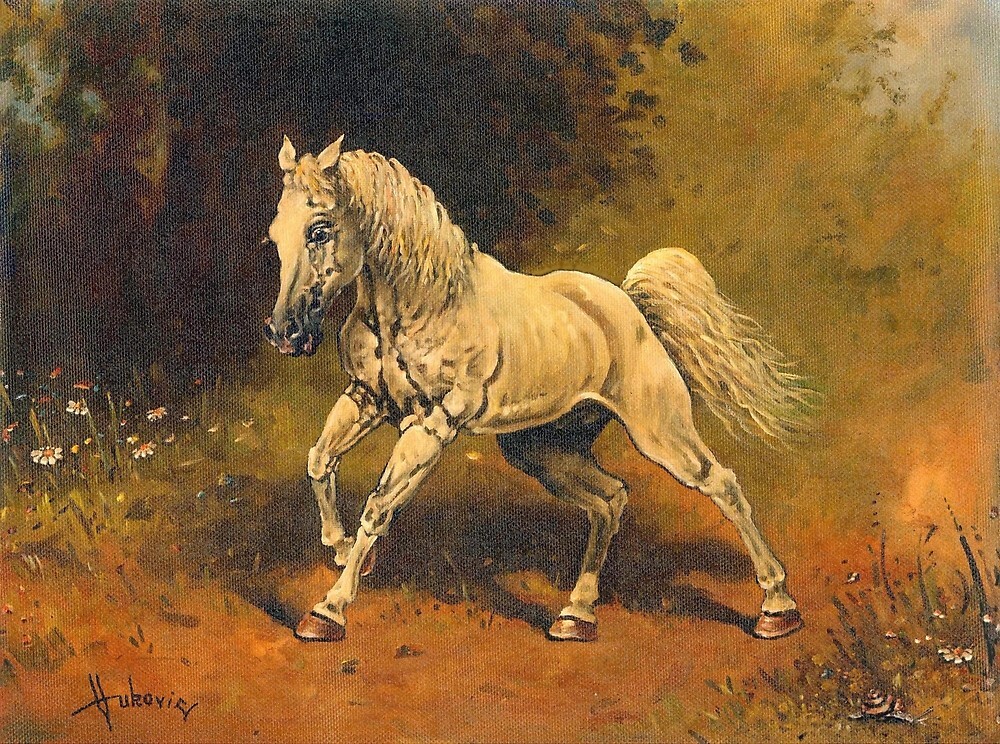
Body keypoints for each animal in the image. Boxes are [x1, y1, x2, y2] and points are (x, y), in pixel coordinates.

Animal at [263, 135, 813, 643]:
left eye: (319, 230)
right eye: (274, 237)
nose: (284, 332)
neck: (423, 304)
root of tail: (631, 307)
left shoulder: (434, 424)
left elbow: (378, 506)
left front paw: (328, 611)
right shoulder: (366, 398)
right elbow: (319, 462)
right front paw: (340, 551)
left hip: (660, 432)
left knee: (721, 484)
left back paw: (777, 609)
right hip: (542, 450)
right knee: (610, 499)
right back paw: (575, 617)